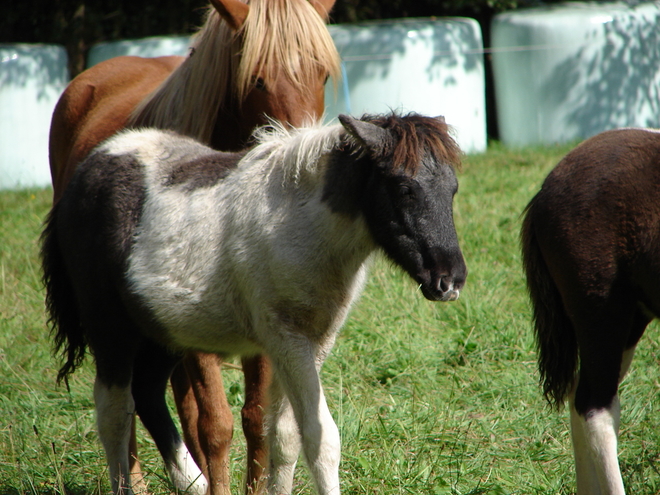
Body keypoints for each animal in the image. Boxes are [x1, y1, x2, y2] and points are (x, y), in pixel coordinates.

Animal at [42, 113, 464, 495]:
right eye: (405, 188)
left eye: (453, 189)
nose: (450, 281)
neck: (300, 223)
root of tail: (82, 175)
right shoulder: (286, 339)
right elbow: (321, 438)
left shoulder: (312, 343)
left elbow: (285, 435)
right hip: (109, 328)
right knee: (115, 412)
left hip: (163, 332)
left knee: (147, 394)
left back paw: (194, 483)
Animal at [47, 1, 340, 494]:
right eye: (256, 80)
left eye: (321, 75)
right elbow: (215, 423)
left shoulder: (269, 325)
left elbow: (256, 418)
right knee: (130, 406)